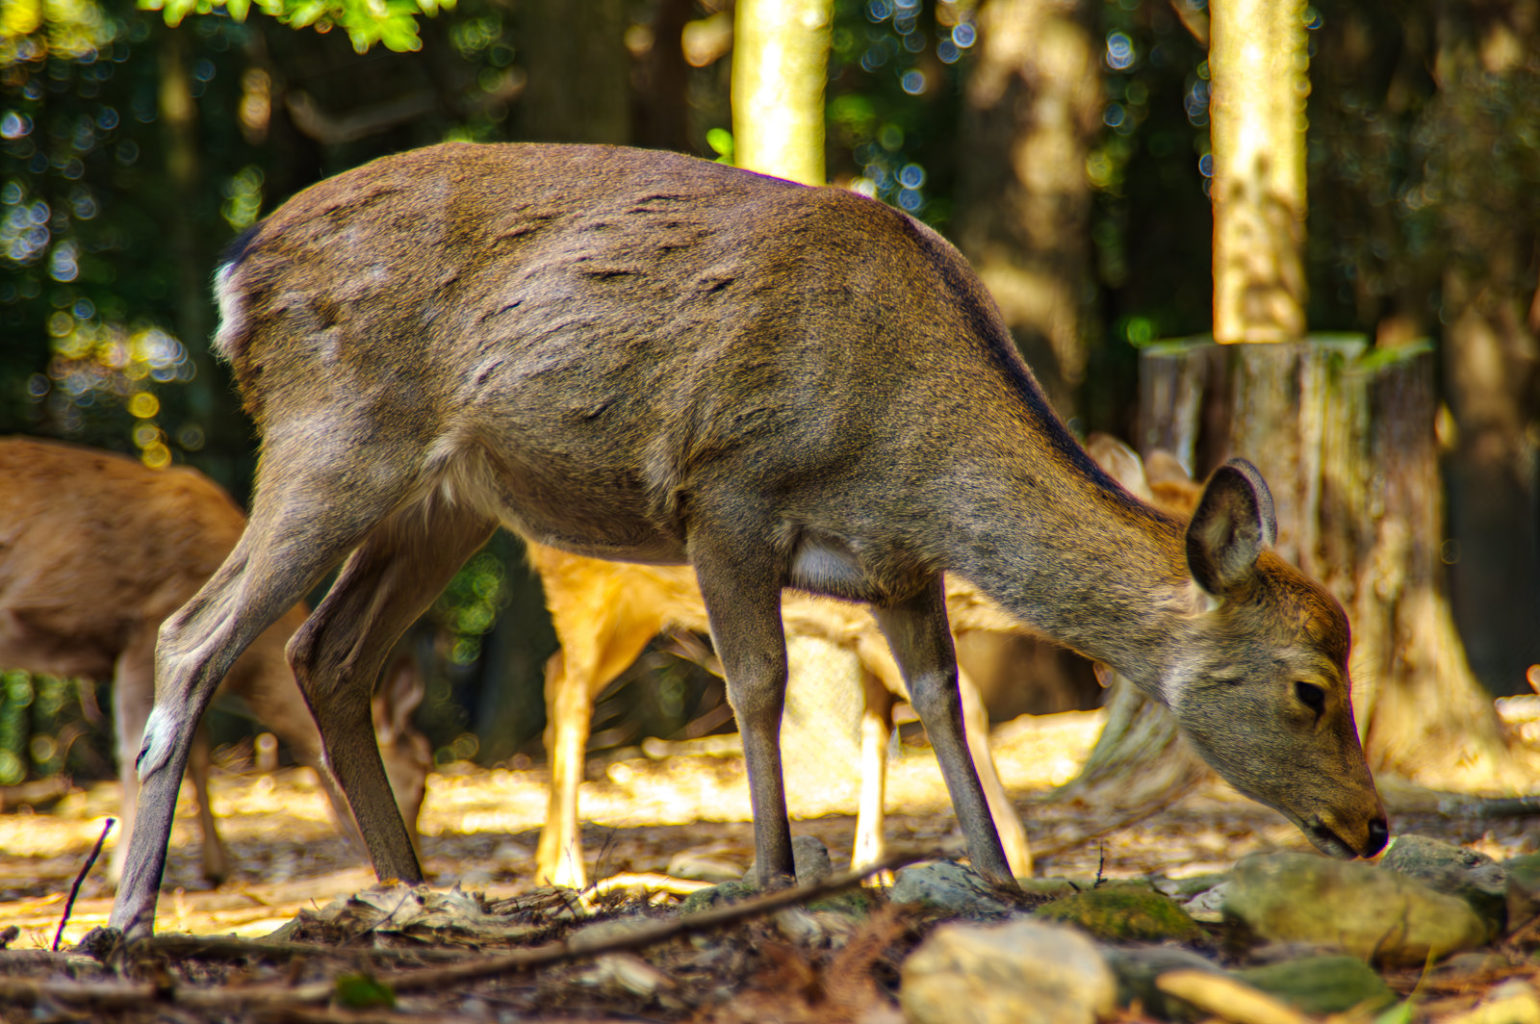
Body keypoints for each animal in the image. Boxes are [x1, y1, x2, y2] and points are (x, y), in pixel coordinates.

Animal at [0, 434, 434, 880]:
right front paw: (122, 868)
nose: (424, 867)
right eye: (421, 779)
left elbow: (197, 752)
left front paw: (216, 866)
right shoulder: (144, 631)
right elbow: (139, 748)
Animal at [105, 141, 1386, 936]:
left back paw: (410, 890)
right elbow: (758, 684)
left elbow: (941, 702)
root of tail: (238, 273)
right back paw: (130, 915)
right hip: (334, 429)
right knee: (193, 634)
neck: (907, 445)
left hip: (449, 498)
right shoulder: (725, 492)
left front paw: (995, 872)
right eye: (1311, 686)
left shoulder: (898, 565)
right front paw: (770, 875)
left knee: (328, 653)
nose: (1372, 825)